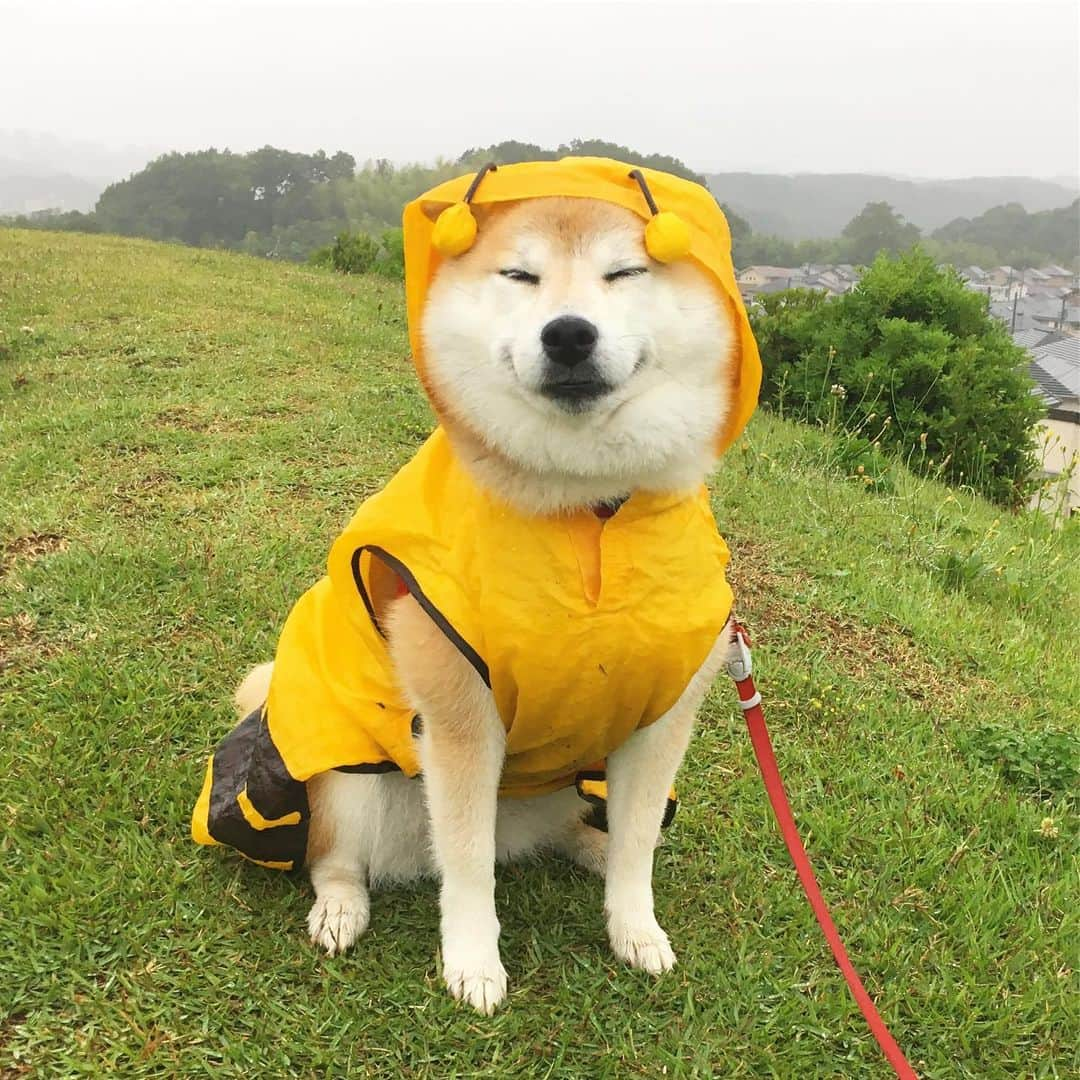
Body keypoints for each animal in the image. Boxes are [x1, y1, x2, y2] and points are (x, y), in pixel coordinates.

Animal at [196, 157, 768, 1010]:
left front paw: (635, 927)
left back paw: (588, 853)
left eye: (625, 272)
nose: (568, 331)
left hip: (560, 789)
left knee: (575, 836)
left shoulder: (661, 720)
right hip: (345, 776)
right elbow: (466, 866)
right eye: (520, 274)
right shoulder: (460, 719)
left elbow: (637, 846)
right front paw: (472, 961)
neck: (585, 511)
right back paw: (341, 907)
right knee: (336, 857)